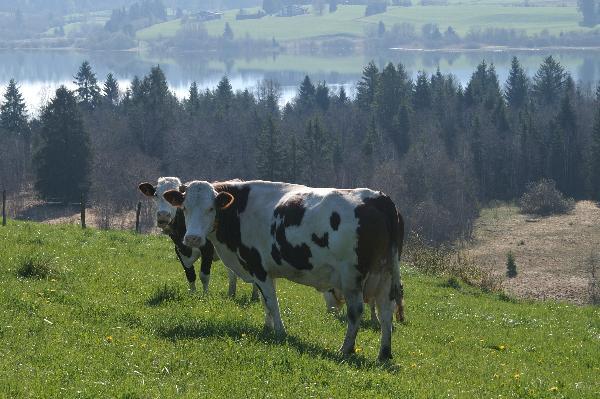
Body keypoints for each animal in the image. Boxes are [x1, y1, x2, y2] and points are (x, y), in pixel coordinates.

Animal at [162, 180, 406, 360]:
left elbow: (272, 302)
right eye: (184, 208)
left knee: (356, 312)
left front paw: (279, 332)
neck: (240, 210)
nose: (192, 238)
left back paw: (345, 349)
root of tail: (380, 198)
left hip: (351, 278)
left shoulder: (258, 267)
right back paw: (384, 354)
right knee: (386, 312)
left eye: (210, 208)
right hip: (385, 274)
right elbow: (265, 302)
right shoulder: (267, 271)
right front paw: (267, 328)